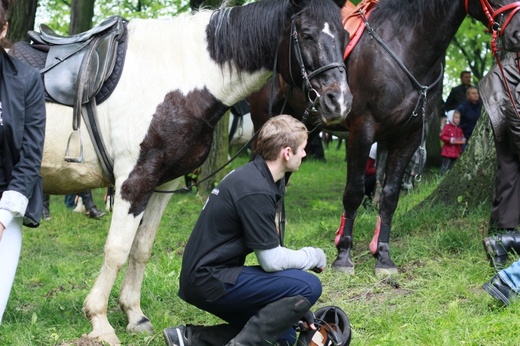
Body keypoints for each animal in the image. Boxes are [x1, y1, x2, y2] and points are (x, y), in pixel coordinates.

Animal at [249, 0, 520, 276]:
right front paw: (343, 255)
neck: (405, 47)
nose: (517, 33)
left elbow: (389, 195)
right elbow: (354, 192)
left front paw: (383, 256)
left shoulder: (408, 136)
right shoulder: (362, 131)